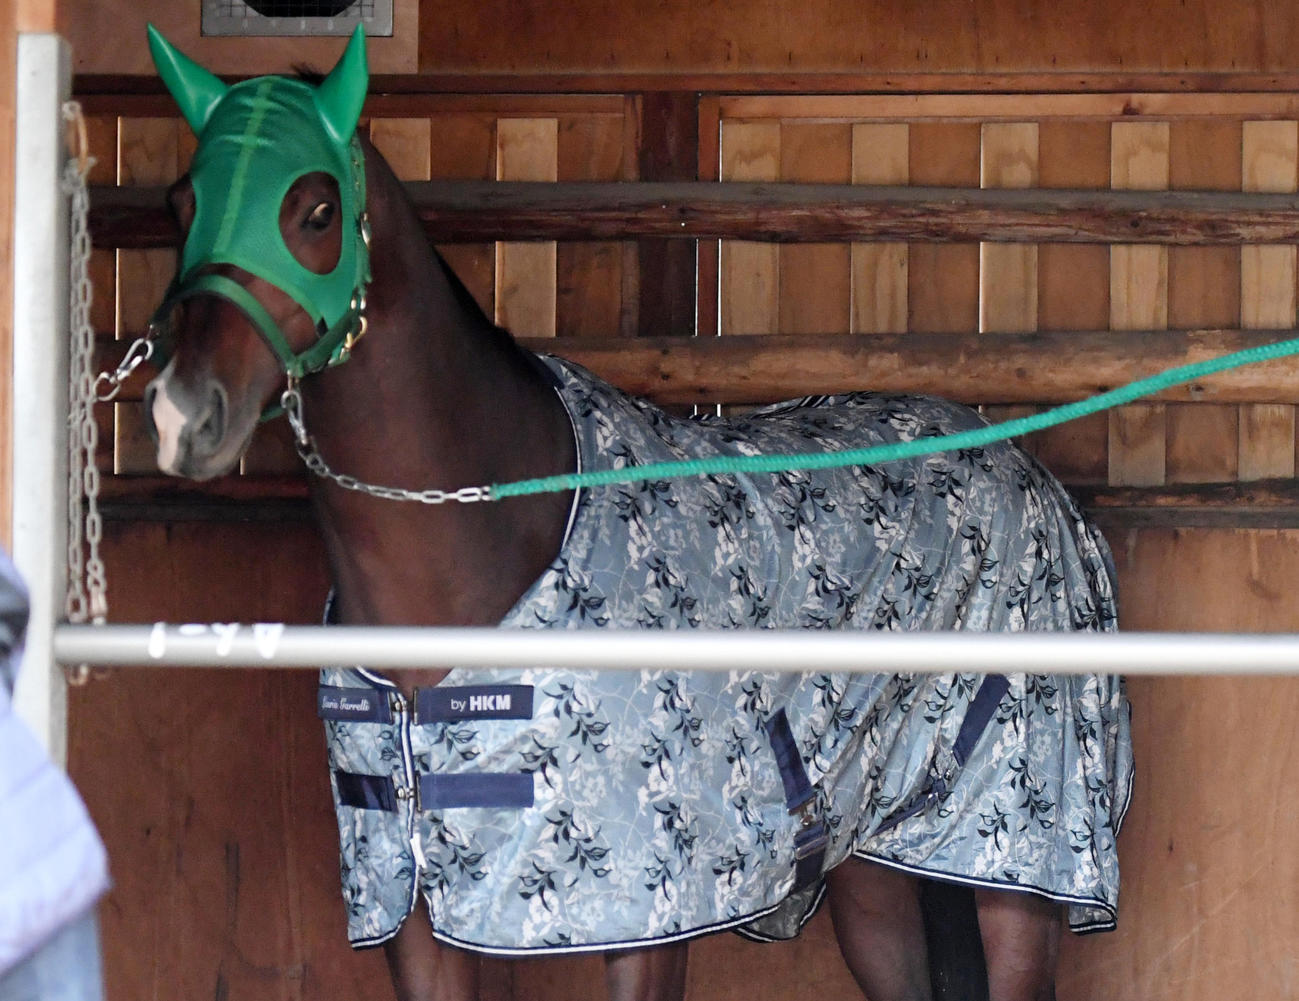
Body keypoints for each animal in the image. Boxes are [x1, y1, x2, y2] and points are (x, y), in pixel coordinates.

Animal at [139, 25, 1132, 1001]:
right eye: (182, 202)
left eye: (313, 209)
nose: (185, 412)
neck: (494, 536)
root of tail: (1031, 474)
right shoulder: (411, 895)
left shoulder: (648, 914)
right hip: (869, 863)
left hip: (1020, 857)